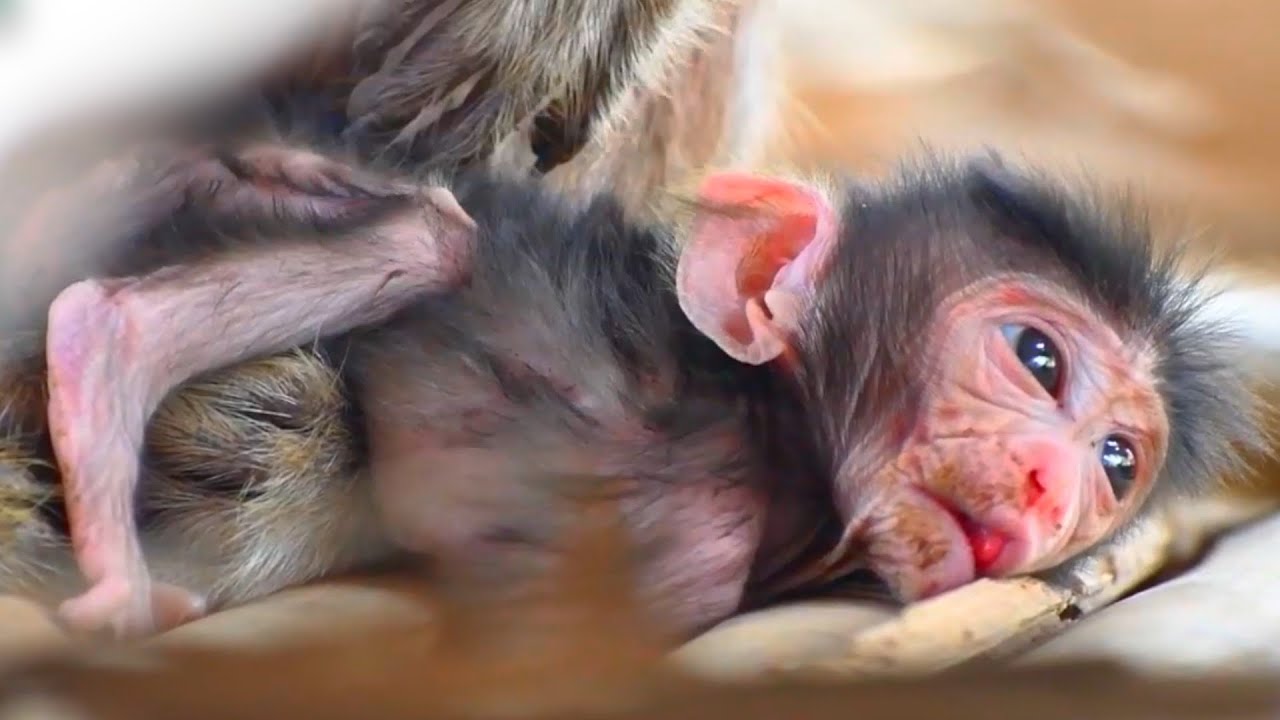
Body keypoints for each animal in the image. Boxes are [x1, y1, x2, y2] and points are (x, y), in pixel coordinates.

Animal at [0, 132, 1259, 641]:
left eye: (1115, 462)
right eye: (1035, 358)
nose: (1053, 484)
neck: (768, 426)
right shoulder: (694, 525)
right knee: (431, 239)